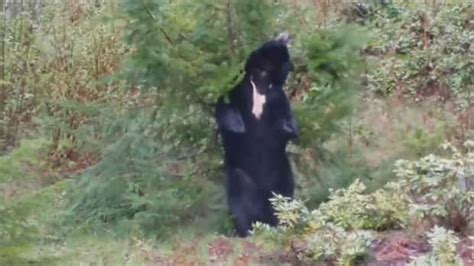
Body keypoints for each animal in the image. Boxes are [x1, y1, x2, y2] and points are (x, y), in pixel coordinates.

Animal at [216, 33, 298, 237]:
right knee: (240, 201)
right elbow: (224, 105)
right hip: (241, 176)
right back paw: (246, 230)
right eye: (288, 61)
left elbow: (287, 117)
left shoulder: (277, 97)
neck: (261, 83)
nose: (293, 66)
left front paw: (286, 128)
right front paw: (237, 126)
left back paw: (281, 221)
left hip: (283, 172)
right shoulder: (240, 87)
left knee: (285, 194)